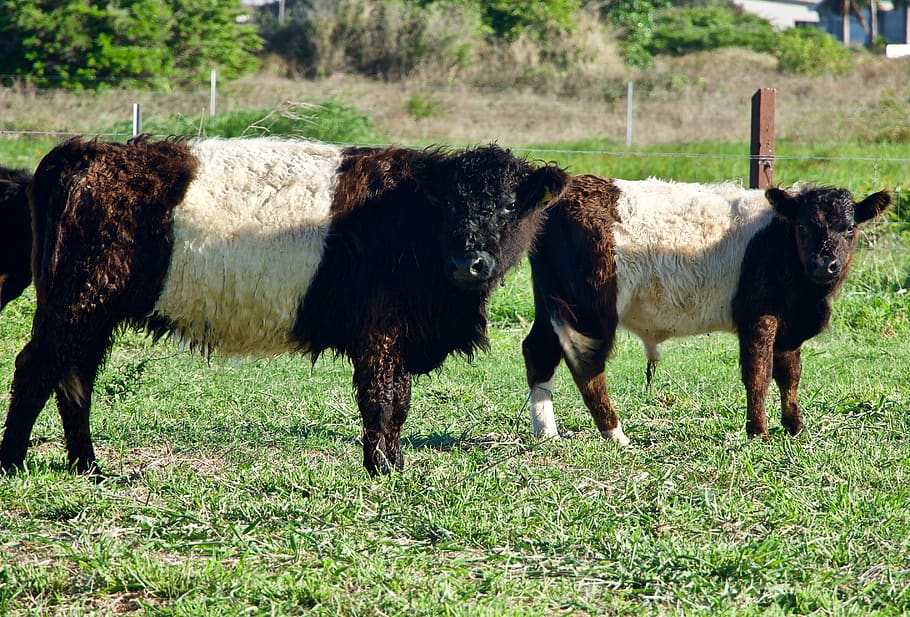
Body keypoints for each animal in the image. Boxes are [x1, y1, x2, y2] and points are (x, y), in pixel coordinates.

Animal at [0, 136, 568, 476]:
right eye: (450, 205)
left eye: (508, 206)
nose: (468, 262)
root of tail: (88, 150)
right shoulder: (381, 332)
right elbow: (382, 400)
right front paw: (381, 471)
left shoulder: (397, 337)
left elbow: (398, 402)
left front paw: (393, 465)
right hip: (76, 303)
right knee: (36, 369)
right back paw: (13, 462)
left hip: (91, 311)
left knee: (74, 378)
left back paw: (88, 466)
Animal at [522, 174, 890, 444]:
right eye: (803, 227)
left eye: (849, 228)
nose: (824, 264)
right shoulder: (758, 314)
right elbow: (759, 373)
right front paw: (759, 432)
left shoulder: (788, 325)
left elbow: (790, 373)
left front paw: (794, 425)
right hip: (592, 309)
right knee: (587, 363)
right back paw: (615, 433)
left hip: (552, 301)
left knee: (538, 350)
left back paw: (546, 432)